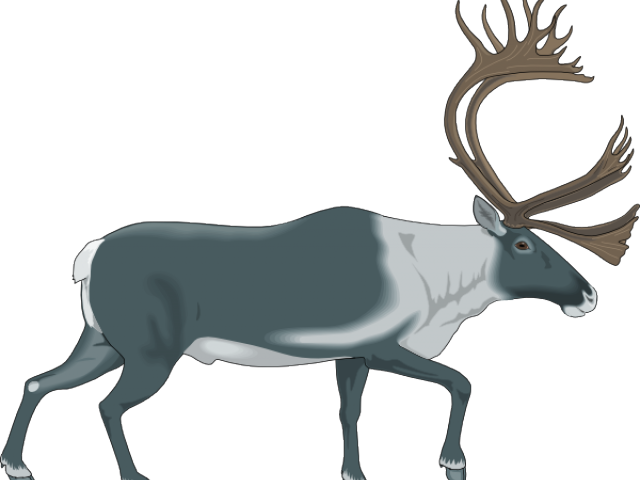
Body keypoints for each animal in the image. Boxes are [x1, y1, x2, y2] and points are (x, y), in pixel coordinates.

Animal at [2, 1, 637, 480]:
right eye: (526, 246)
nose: (588, 296)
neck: (441, 284)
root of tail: (89, 255)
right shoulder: (384, 343)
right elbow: (462, 379)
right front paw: (452, 461)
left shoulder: (350, 354)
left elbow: (349, 414)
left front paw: (354, 474)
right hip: (151, 351)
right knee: (108, 404)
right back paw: (133, 476)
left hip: (102, 339)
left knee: (38, 380)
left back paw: (16, 465)